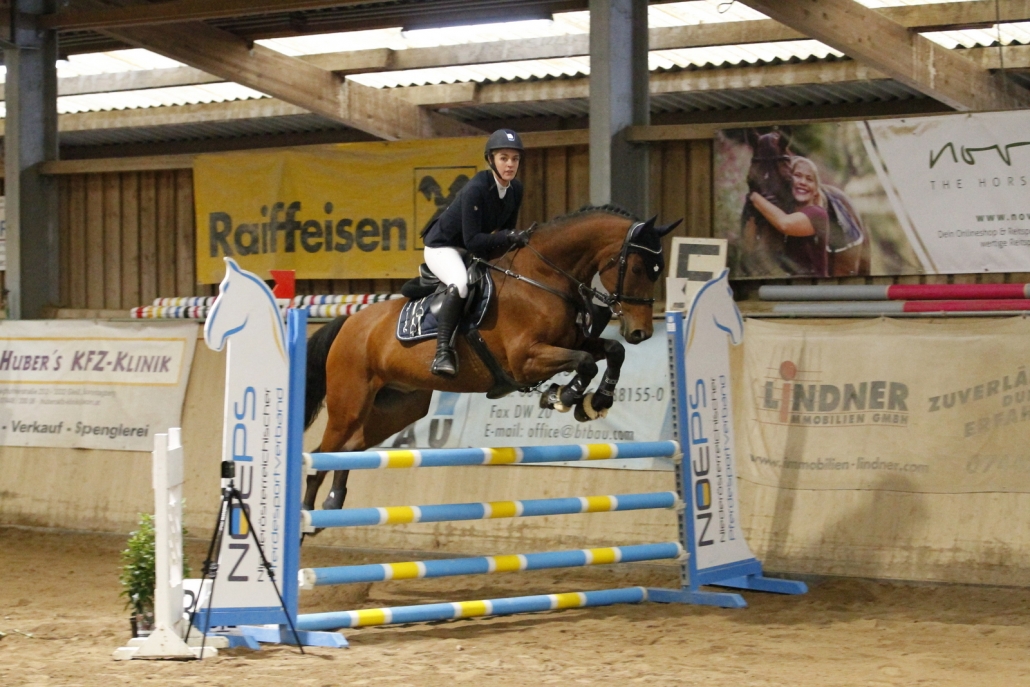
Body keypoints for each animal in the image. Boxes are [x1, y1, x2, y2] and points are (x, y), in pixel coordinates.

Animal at [300, 207, 679, 519]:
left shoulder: (571, 342)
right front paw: (563, 396)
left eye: (658, 270)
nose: (641, 332)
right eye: (638, 268)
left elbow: (612, 351)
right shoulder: (526, 359)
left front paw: (595, 401)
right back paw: (305, 518)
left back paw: (332, 504)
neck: (543, 277)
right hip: (350, 404)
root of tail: (350, 323)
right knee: (324, 452)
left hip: (398, 407)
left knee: (351, 449)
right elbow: (586, 363)